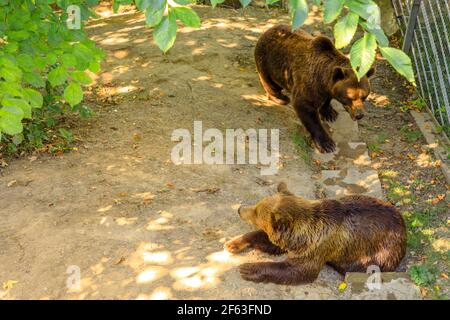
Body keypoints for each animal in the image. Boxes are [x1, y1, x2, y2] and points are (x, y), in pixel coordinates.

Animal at [227, 182, 406, 284]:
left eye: (256, 213)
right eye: (257, 206)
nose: (240, 209)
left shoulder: (318, 247)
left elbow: (298, 270)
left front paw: (249, 268)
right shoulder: (294, 241)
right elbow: (269, 241)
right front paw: (232, 243)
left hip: (379, 251)